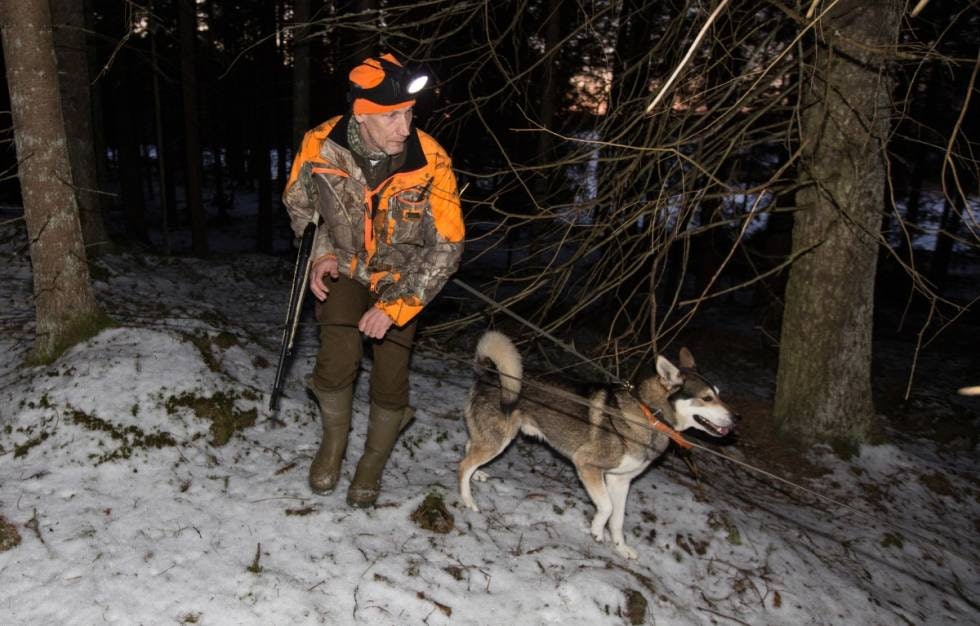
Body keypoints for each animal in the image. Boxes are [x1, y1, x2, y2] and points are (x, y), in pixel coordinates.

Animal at [460, 330, 736, 560]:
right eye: (706, 398)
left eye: (719, 394)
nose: (736, 419)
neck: (649, 414)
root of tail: (490, 372)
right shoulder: (587, 466)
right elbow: (607, 507)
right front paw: (595, 530)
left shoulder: (620, 481)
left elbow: (618, 519)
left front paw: (620, 547)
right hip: (499, 440)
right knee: (463, 465)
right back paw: (468, 500)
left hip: (492, 437)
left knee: (469, 448)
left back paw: (478, 474)